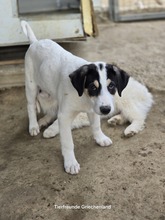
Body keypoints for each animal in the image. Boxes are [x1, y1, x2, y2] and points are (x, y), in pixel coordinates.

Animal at [21, 21, 129, 174]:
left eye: (112, 86)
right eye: (93, 87)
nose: (106, 110)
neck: (83, 95)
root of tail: (35, 42)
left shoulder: (93, 109)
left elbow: (96, 126)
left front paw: (100, 138)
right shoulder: (65, 116)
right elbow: (67, 143)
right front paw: (70, 163)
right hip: (31, 85)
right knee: (30, 106)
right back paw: (34, 126)